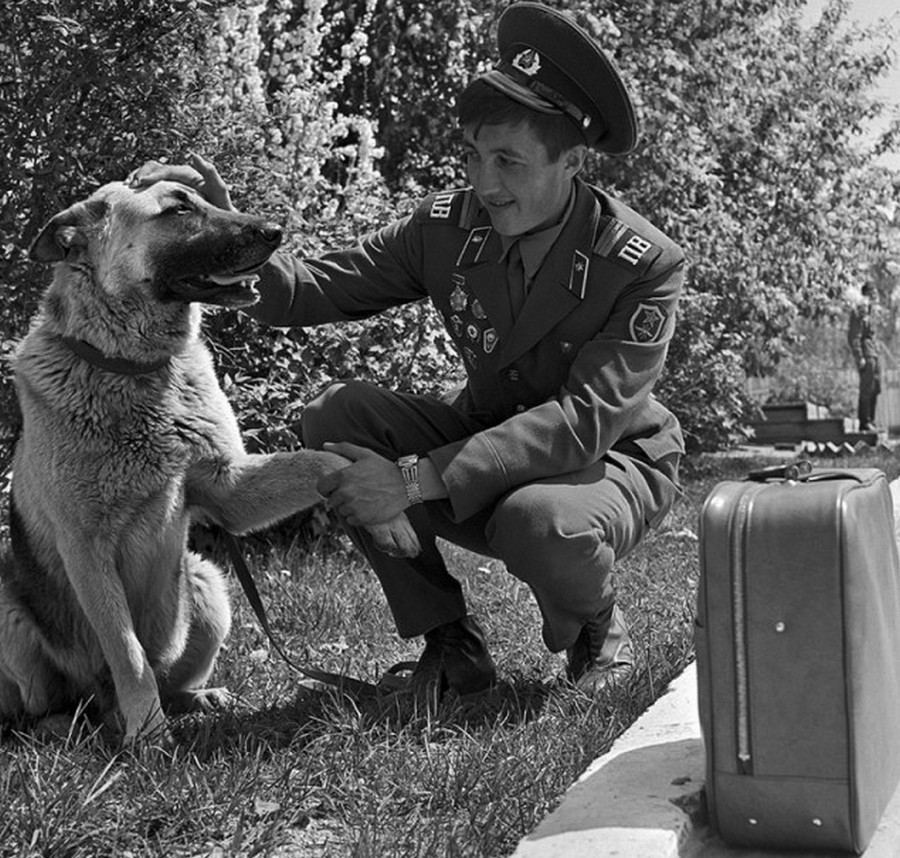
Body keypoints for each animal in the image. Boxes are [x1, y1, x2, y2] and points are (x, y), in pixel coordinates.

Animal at [0, 181, 418, 744]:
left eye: (201, 196)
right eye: (177, 209)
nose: (275, 231)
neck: (135, 371)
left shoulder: (229, 489)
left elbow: (322, 461)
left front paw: (388, 511)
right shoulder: (86, 549)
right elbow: (128, 654)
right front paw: (148, 735)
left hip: (207, 581)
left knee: (169, 680)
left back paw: (200, 699)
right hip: (10, 612)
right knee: (48, 707)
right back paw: (66, 724)